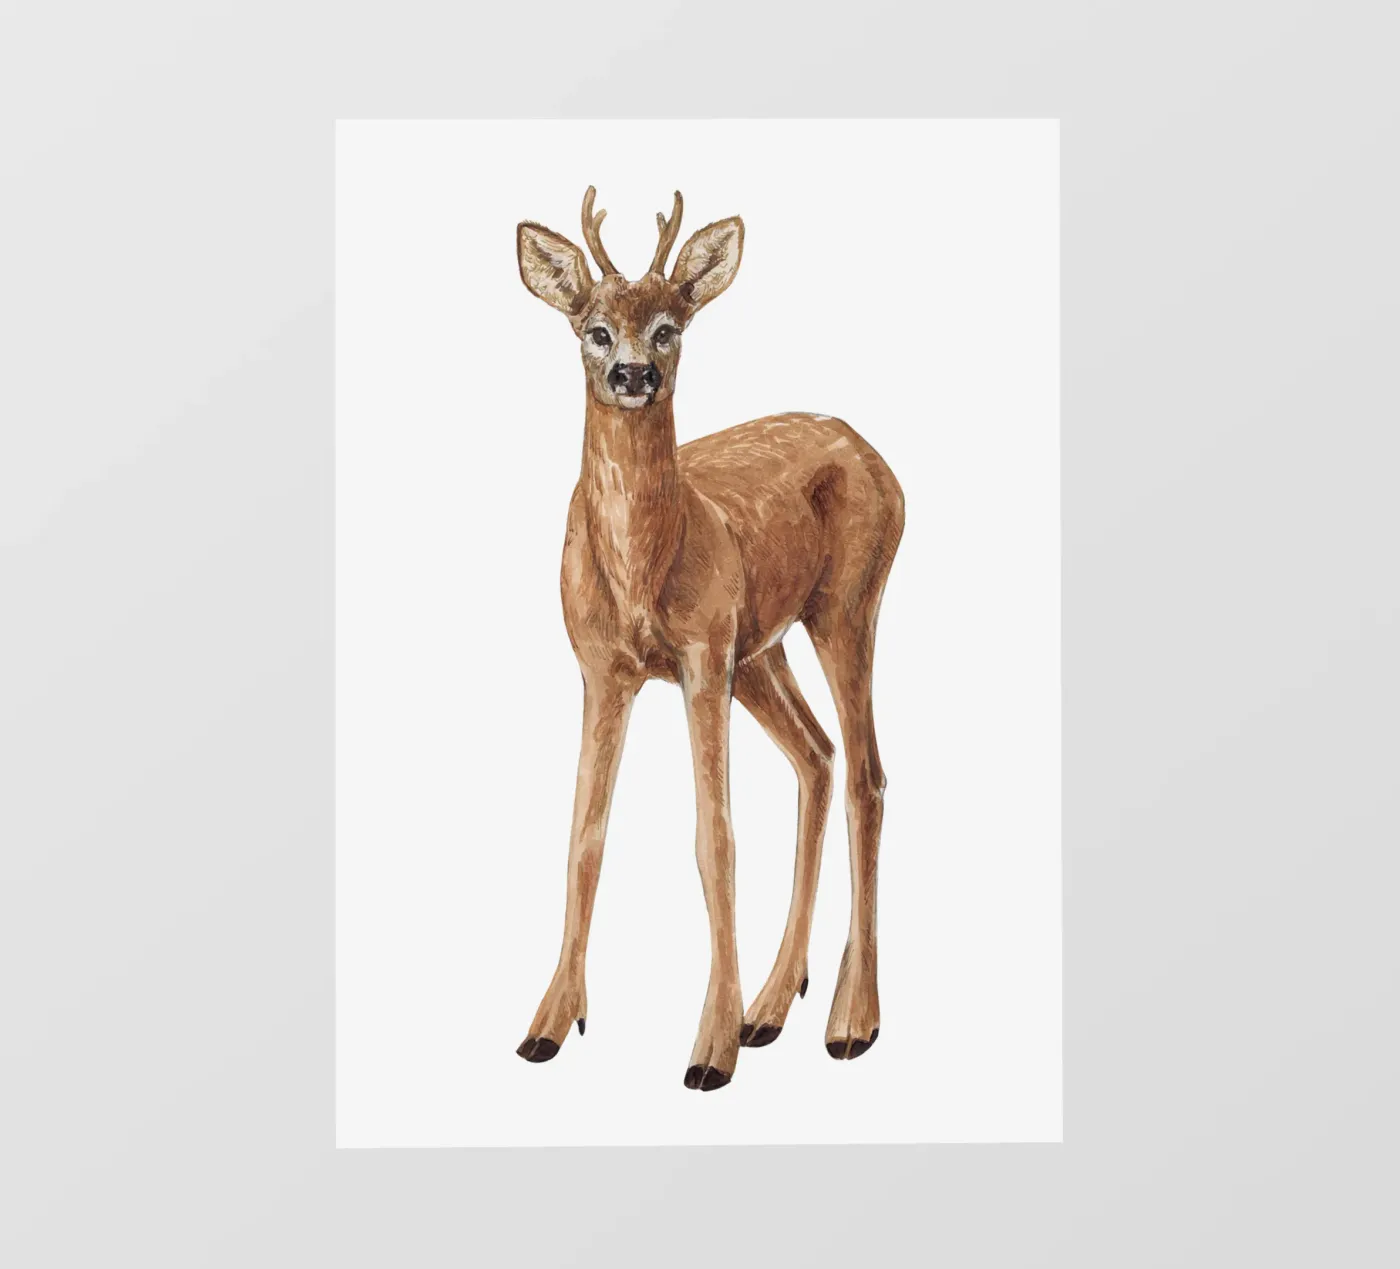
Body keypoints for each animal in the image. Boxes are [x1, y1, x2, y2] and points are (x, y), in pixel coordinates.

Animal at [513, 188, 905, 1091]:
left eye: (670, 326)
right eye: (593, 328)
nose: (633, 374)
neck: (642, 571)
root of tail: (878, 458)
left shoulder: (699, 657)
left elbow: (714, 839)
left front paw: (708, 1050)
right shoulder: (603, 669)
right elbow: (584, 838)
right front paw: (549, 1022)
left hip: (845, 606)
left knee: (867, 774)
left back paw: (849, 1021)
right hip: (761, 648)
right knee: (818, 755)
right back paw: (773, 1005)